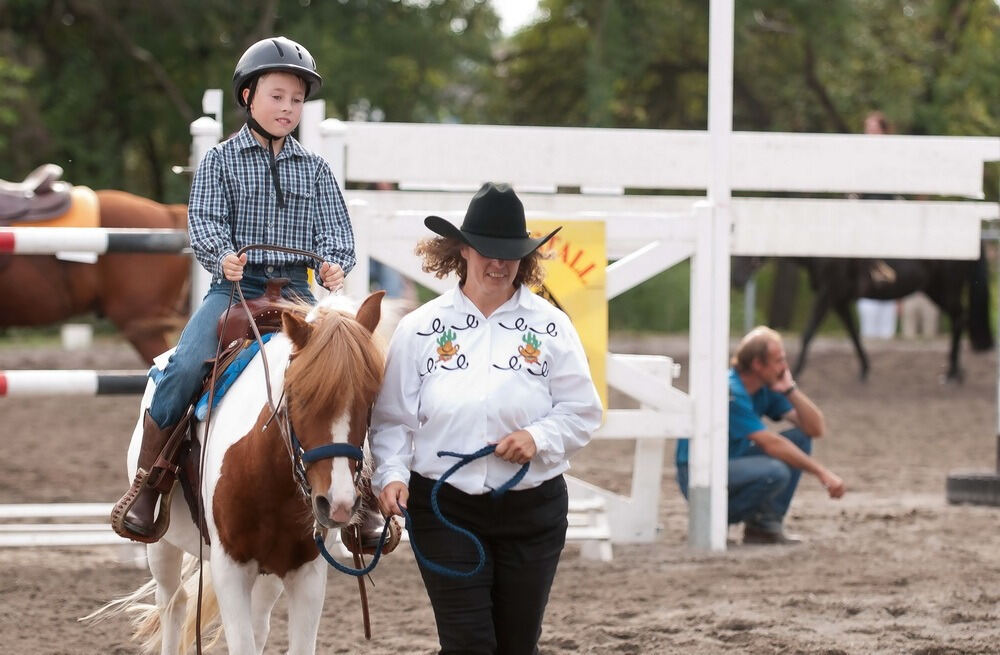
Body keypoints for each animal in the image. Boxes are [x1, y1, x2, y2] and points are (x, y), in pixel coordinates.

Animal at [85, 294, 386, 655]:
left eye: (372, 398)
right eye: (300, 396)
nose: (337, 504)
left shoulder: (307, 571)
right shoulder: (230, 568)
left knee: (257, 623)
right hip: (162, 545)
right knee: (173, 603)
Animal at [732, 251, 996, 384]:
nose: (736, 279)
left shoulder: (828, 293)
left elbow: (808, 333)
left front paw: (794, 371)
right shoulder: (839, 299)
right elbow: (853, 333)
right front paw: (864, 369)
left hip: (945, 289)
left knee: (960, 319)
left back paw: (952, 372)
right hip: (935, 290)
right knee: (960, 319)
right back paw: (955, 371)